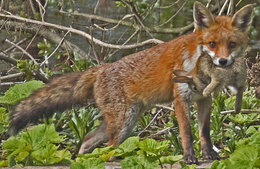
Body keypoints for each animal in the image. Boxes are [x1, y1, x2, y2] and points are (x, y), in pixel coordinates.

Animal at [9, 1, 253, 164]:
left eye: (231, 44)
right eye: (212, 44)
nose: (222, 61)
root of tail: (101, 68)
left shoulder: (204, 99)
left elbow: (204, 131)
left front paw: (210, 154)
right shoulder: (180, 99)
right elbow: (187, 133)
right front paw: (189, 157)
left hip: (123, 122)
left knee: (87, 141)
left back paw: (84, 161)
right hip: (123, 123)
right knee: (108, 149)